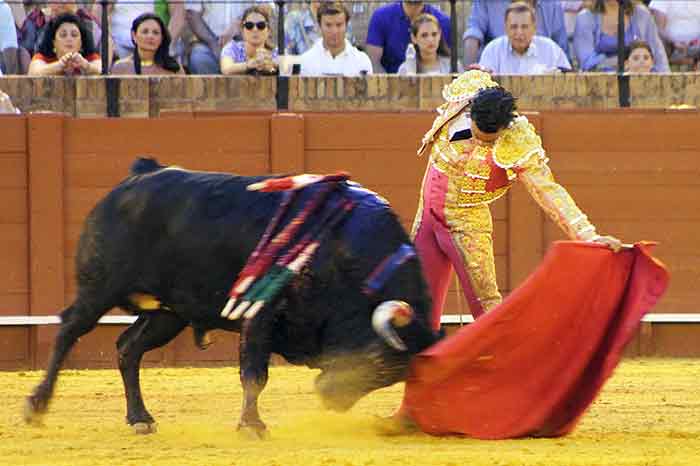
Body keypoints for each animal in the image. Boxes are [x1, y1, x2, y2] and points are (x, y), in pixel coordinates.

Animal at [24, 160, 440, 436]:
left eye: (394, 374)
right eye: (376, 358)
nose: (331, 400)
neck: (342, 251)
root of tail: (134, 179)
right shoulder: (261, 314)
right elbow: (255, 374)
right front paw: (253, 425)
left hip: (168, 313)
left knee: (129, 348)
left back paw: (140, 418)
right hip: (99, 288)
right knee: (68, 330)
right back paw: (37, 406)